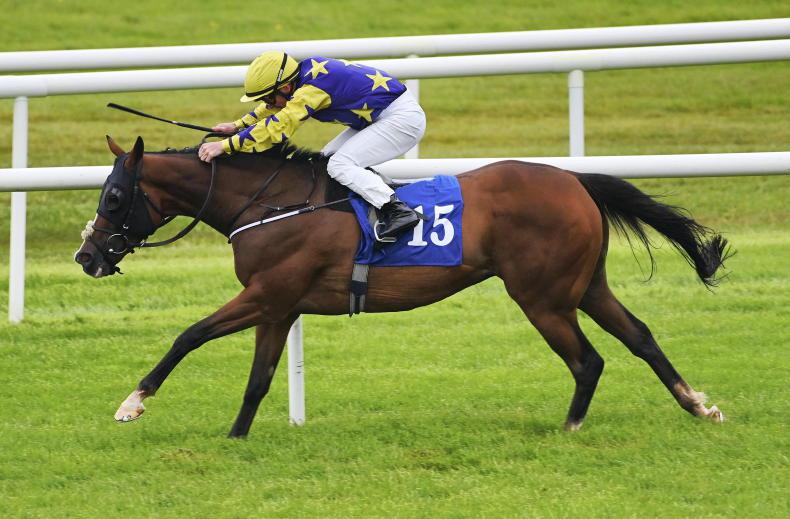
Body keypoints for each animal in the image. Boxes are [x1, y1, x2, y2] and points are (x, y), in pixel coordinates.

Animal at [74, 135, 731, 438]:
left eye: (114, 197)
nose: (86, 256)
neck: (270, 204)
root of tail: (575, 181)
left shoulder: (266, 294)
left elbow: (189, 335)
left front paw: (132, 403)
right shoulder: (280, 307)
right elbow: (258, 380)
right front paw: (236, 438)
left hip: (541, 297)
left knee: (588, 360)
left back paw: (569, 428)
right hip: (585, 285)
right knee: (640, 337)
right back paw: (698, 404)